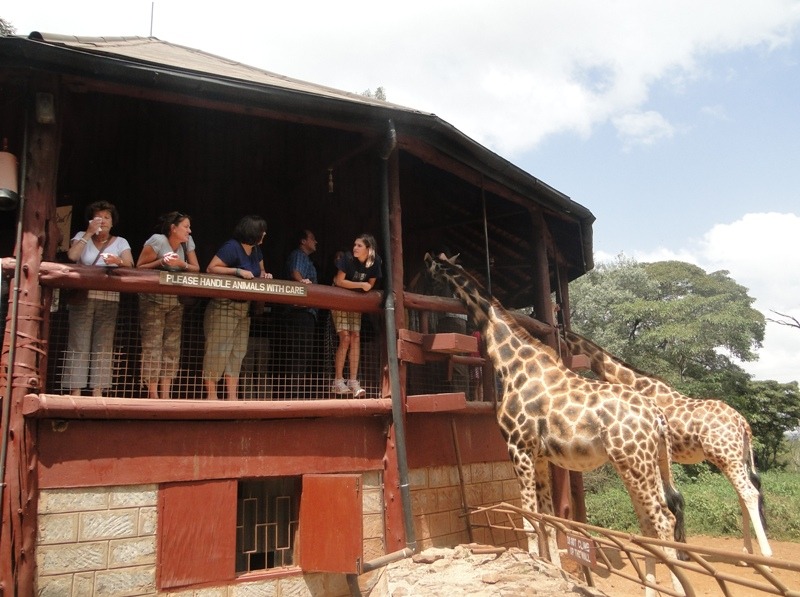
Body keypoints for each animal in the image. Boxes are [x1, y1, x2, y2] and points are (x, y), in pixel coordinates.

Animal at [424, 253, 688, 596]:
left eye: (432, 270)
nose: (424, 274)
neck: (512, 365)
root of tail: (657, 416)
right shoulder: (539, 457)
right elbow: (547, 519)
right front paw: (553, 569)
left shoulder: (518, 448)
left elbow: (527, 517)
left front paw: (532, 563)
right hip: (641, 464)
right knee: (648, 523)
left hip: (636, 463)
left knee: (663, 520)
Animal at [560, 328, 772, 556]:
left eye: (563, 340)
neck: (636, 384)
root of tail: (744, 424)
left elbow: (668, 501)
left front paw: (675, 551)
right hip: (738, 457)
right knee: (743, 495)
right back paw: (746, 551)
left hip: (725, 456)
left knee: (749, 493)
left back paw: (765, 553)